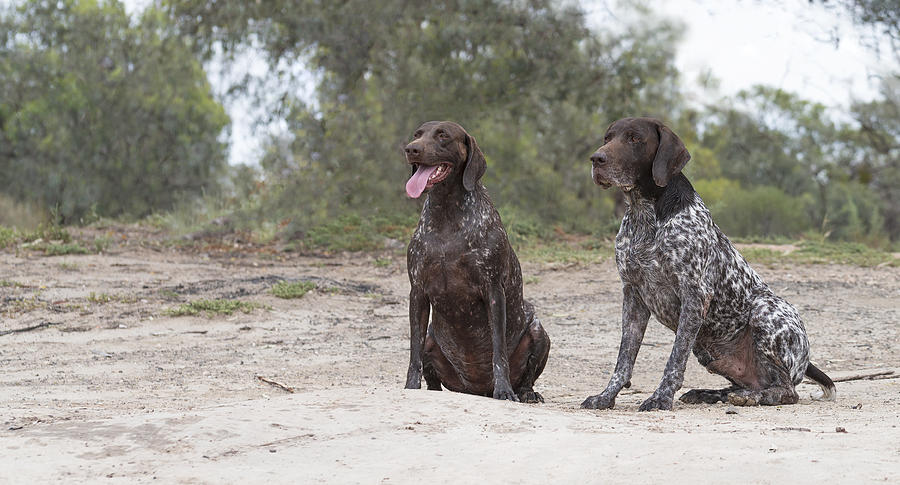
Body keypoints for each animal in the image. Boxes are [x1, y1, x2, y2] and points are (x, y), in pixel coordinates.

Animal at [406, 120, 548, 400]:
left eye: (442, 135)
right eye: (417, 134)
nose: (410, 149)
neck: (447, 214)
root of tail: (476, 390)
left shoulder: (493, 290)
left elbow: (498, 351)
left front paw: (504, 390)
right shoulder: (417, 292)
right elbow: (413, 353)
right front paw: (410, 387)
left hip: (539, 332)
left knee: (527, 378)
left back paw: (526, 393)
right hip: (431, 339)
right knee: (432, 376)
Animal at [584, 116, 836, 408]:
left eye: (635, 139)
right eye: (607, 138)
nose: (596, 159)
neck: (645, 215)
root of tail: (805, 361)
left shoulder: (695, 295)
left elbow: (674, 359)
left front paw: (661, 397)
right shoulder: (633, 296)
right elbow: (624, 359)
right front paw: (606, 396)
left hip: (764, 311)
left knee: (785, 391)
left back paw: (751, 398)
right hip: (710, 353)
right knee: (749, 384)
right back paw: (711, 394)